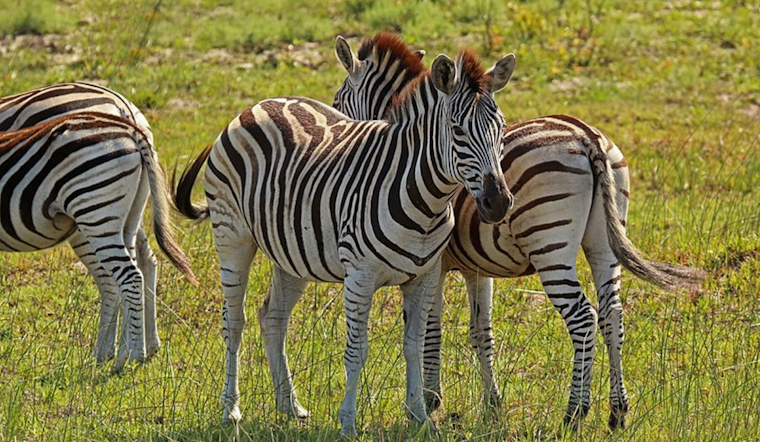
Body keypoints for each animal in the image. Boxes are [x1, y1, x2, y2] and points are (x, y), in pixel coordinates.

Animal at [0, 111, 196, 372]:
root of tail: (131, 130)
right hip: (128, 216)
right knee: (131, 272)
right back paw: (120, 354)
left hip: (95, 211)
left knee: (130, 277)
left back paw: (134, 356)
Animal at [173, 49, 516, 436]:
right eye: (457, 130)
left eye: (501, 128)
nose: (498, 202)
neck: (427, 200)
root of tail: (259, 104)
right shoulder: (360, 277)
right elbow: (358, 351)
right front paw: (349, 422)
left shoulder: (425, 277)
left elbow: (413, 344)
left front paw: (419, 416)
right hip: (232, 236)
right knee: (234, 322)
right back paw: (231, 409)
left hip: (291, 254)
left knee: (272, 316)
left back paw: (289, 405)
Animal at [333, 33, 704, 430]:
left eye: (337, 103)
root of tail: (586, 137)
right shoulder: (476, 268)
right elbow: (481, 332)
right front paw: (491, 404)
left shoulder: (435, 264)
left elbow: (431, 329)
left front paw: (431, 399)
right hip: (604, 241)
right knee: (612, 315)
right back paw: (617, 412)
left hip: (550, 245)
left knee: (583, 318)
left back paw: (574, 413)